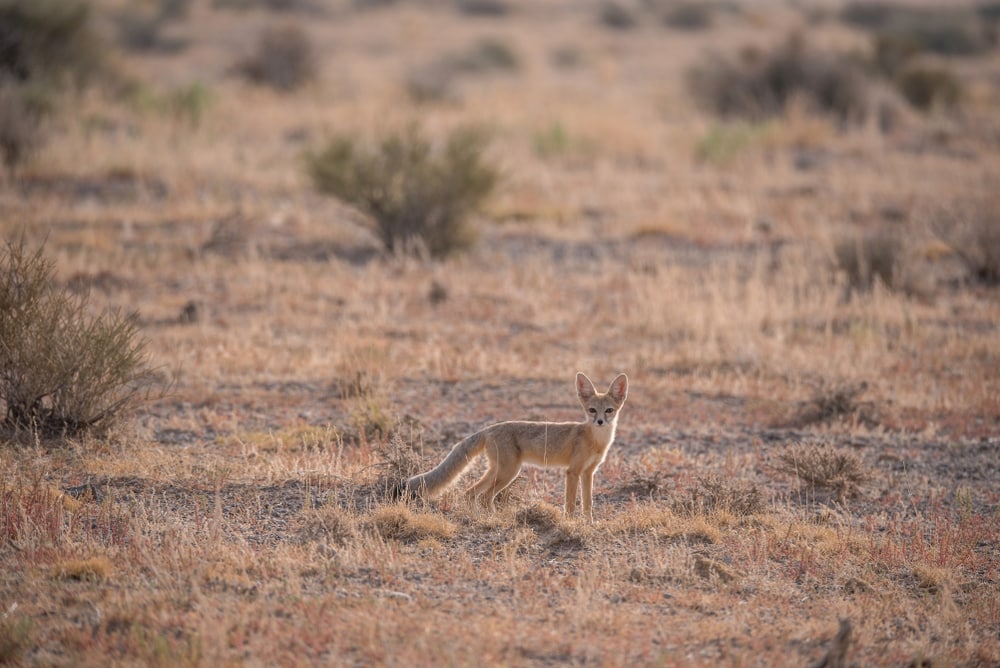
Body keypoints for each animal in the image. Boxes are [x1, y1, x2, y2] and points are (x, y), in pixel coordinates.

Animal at [397, 372, 628, 521]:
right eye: (592, 410)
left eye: (609, 410)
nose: (600, 421)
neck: (596, 441)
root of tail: (489, 428)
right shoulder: (572, 472)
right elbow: (571, 504)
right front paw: (570, 524)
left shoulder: (588, 473)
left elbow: (588, 504)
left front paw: (589, 524)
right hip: (508, 473)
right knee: (484, 496)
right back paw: (494, 519)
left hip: (499, 471)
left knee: (470, 493)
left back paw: (479, 517)